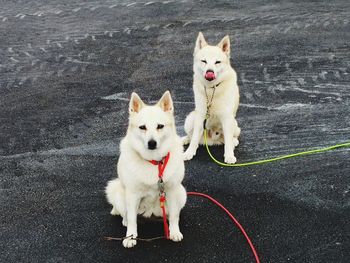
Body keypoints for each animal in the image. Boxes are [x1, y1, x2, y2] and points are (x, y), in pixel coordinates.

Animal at [105, 92, 187, 249]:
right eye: (142, 127)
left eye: (160, 126)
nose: (152, 143)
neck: (154, 161)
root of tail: (150, 213)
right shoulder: (132, 194)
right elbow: (132, 218)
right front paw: (130, 237)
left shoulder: (172, 191)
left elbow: (175, 215)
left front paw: (174, 232)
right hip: (118, 192)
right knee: (125, 214)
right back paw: (125, 222)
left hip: (182, 193)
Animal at [183, 32, 241, 164]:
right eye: (204, 61)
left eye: (217, 62)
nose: (210, 72)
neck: (211, 90)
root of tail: (210, 140)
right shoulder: (200, 115)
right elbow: (194, 138)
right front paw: (189, 152)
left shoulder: (227, 118)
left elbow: (228, 141)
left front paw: (229, 156)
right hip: (190, 120)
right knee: (192, 136)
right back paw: (184, 140)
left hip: (234, 125)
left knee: (230, 138)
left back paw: (233, 142)